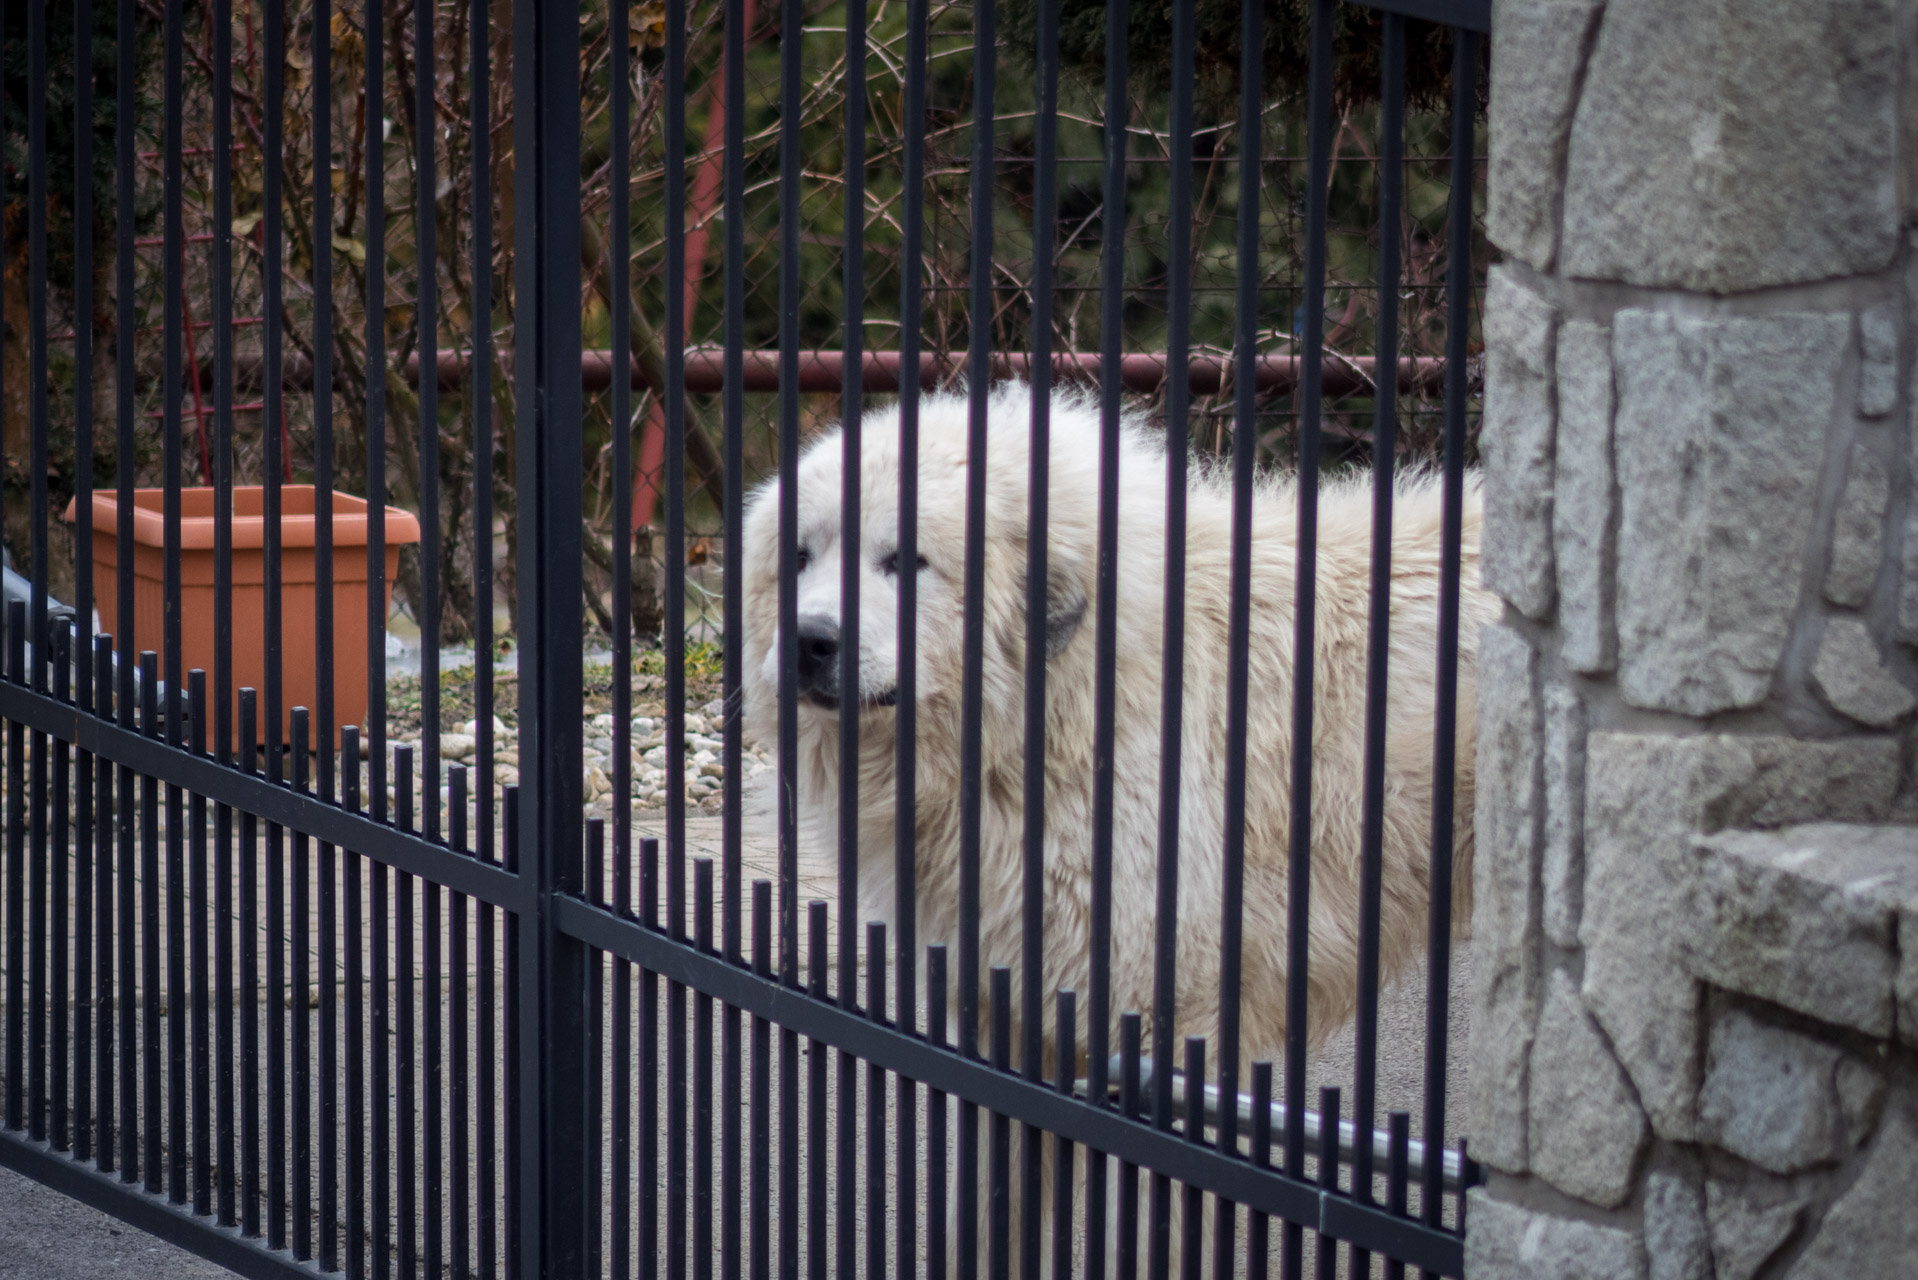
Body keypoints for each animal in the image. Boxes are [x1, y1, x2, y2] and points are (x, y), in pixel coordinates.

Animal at [740, 387, 1488, 1274]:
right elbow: (987, 1213)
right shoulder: (1006, 1016)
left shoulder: (1170, 1040)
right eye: (801, 556)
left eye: (905, 561)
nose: (810, 641)